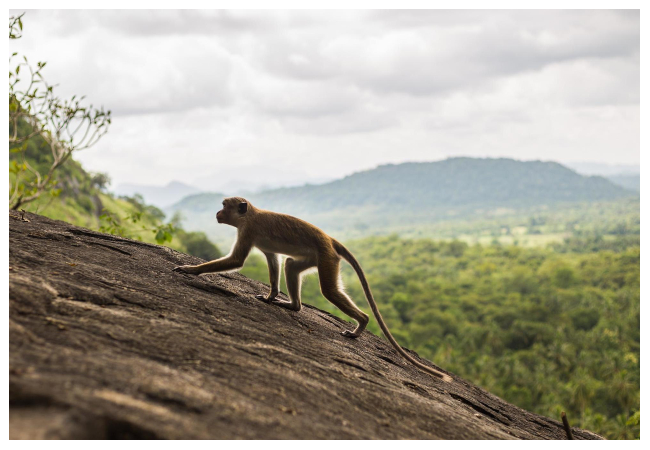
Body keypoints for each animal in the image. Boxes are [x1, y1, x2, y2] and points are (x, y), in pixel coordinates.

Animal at [175, 195, 454, 382]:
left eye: (225, 206)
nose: (217, 213)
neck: (249, 215)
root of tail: (330, 238)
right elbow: (273, 261)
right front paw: (271, 296)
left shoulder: (248, 230)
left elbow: (237, 261)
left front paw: (190, 269)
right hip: (316, 256)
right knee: (290, 265)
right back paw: (294, 306)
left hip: (327, 257)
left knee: (329, 290)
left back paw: (360, 324)